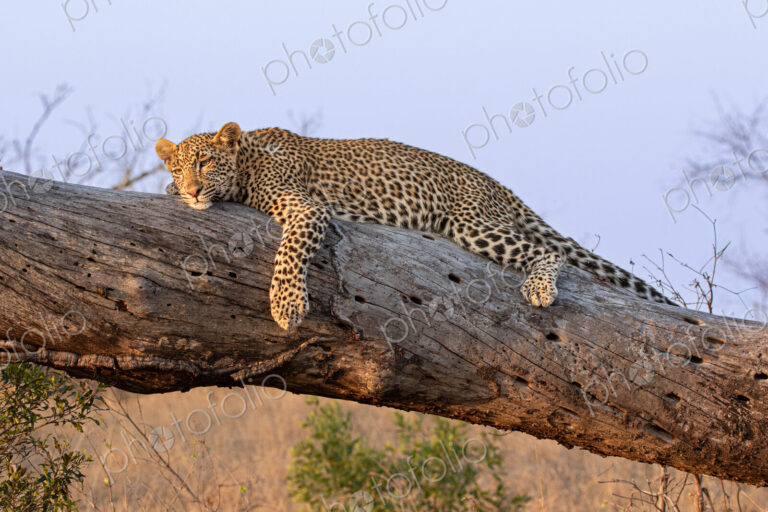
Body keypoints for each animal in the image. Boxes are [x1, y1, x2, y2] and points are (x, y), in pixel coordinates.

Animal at [155, 122, 673, 330]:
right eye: (179, 168)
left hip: (471, 221)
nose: (193, 191)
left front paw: (287, 306)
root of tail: (493, 182)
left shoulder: (306, 208)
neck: (245, 164)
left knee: (550, 251)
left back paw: (539, 288)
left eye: (206, 162)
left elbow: (289, 254)